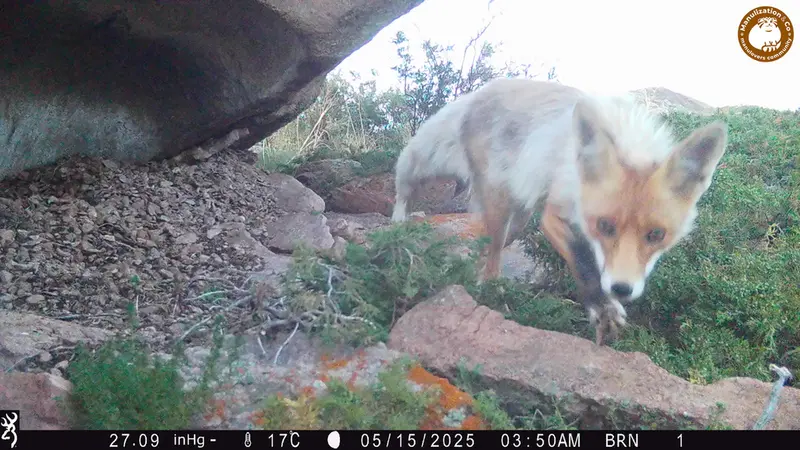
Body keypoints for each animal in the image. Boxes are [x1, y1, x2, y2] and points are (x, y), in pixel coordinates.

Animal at [391, 77, 729, 345]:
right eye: (604, 226)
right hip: (500, 201)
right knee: (488, 252)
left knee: (487, 247)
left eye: (656, 234)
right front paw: (601, 306)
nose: (621, 289)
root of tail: (483, 90)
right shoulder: (554, 214)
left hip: (519, 210)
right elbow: (582, 259)